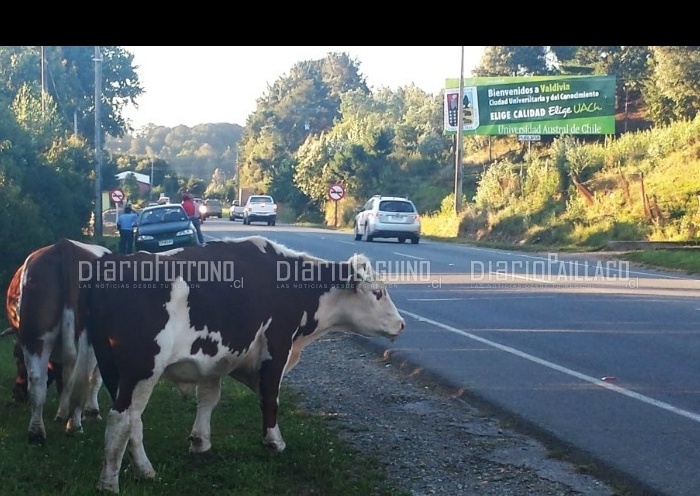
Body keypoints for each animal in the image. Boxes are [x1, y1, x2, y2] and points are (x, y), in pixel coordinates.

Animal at [13, 238, 109, 444]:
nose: (16, 395)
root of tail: (65, 245)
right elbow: (95, 379)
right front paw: (91, 412)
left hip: (35, 335)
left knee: (38, 380)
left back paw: (36, 433)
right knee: (81, 376)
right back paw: (74, 425)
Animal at [78, 235, 404, 492]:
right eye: (378, 292)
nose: (402, 324)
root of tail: (113, 267)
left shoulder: (214, 360)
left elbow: (208, 399)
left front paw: (201, 442)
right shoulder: (276, 348)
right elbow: (270, 398)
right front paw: (274, 441)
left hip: (115, 371)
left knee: (132, 421)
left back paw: (145, 471)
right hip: (142, 369)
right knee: (121, 420)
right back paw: (109, 483)